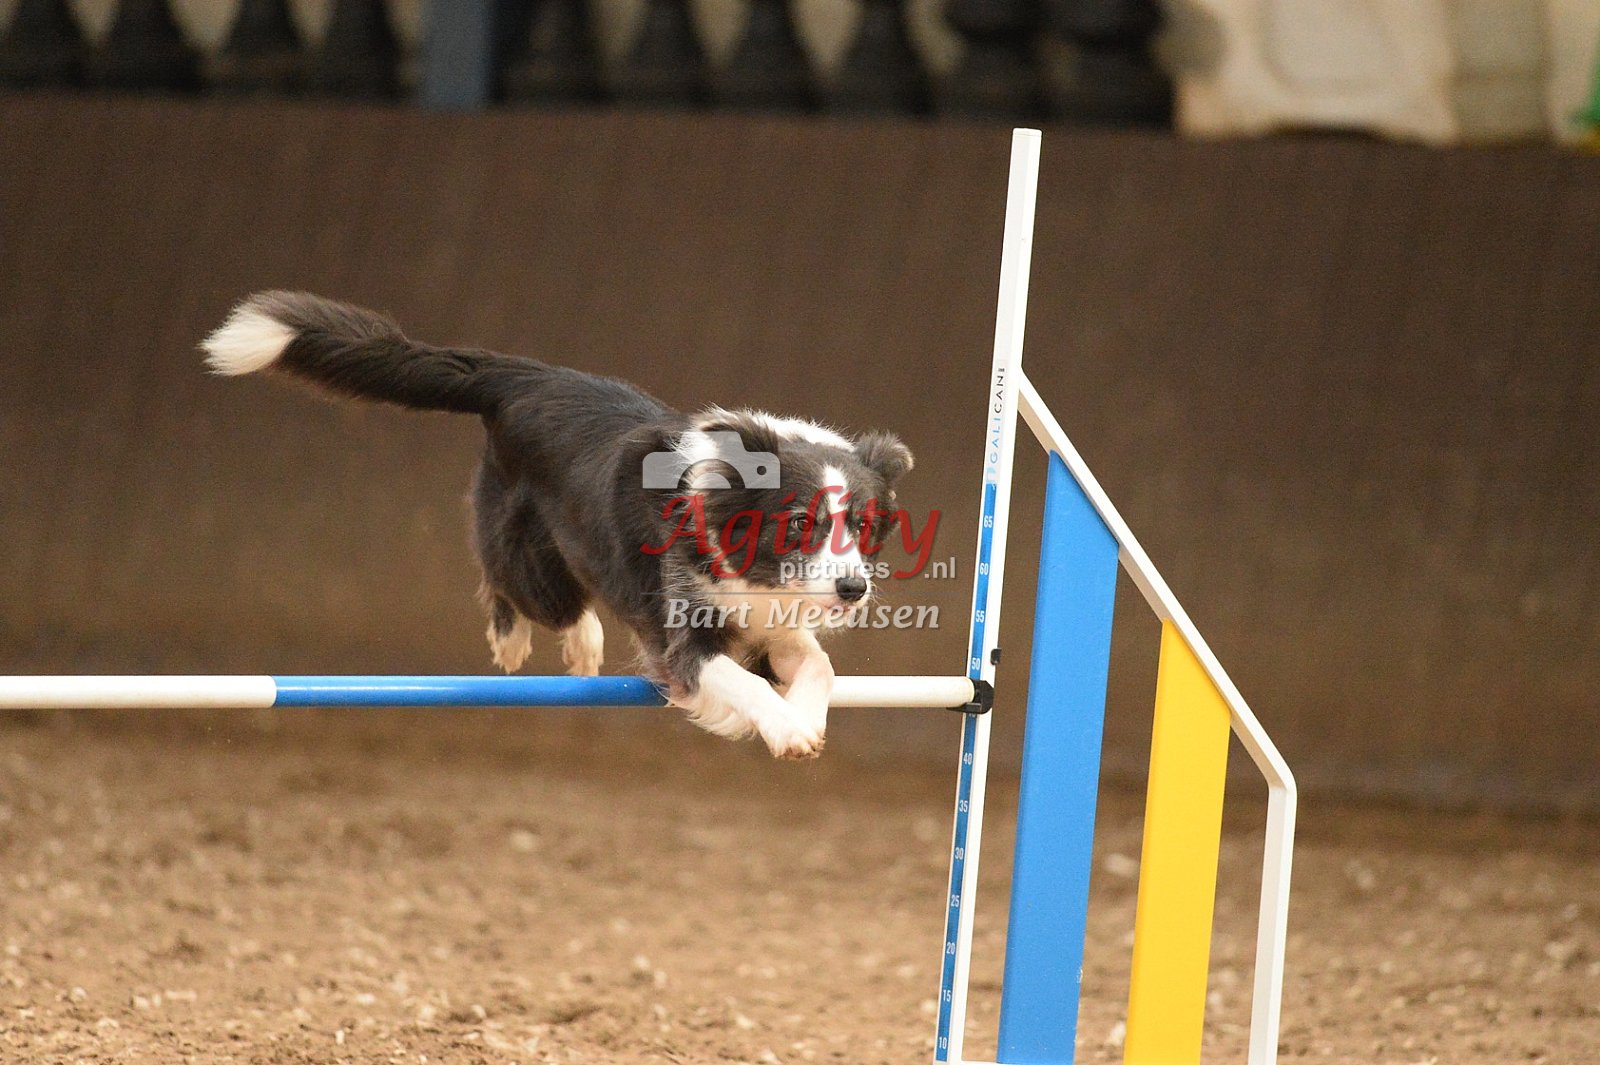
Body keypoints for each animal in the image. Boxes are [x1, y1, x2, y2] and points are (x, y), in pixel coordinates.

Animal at [202, 292, 914, 759]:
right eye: (800, 522)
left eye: (864, 525)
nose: (854, 591)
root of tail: (525, 377)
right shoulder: (683, 635)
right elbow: (733, 677)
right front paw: (785, 729)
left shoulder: (774, 620)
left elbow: (818, 665)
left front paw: (806, 718)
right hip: (527, 550)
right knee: (511, 583)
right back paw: (536, 642)